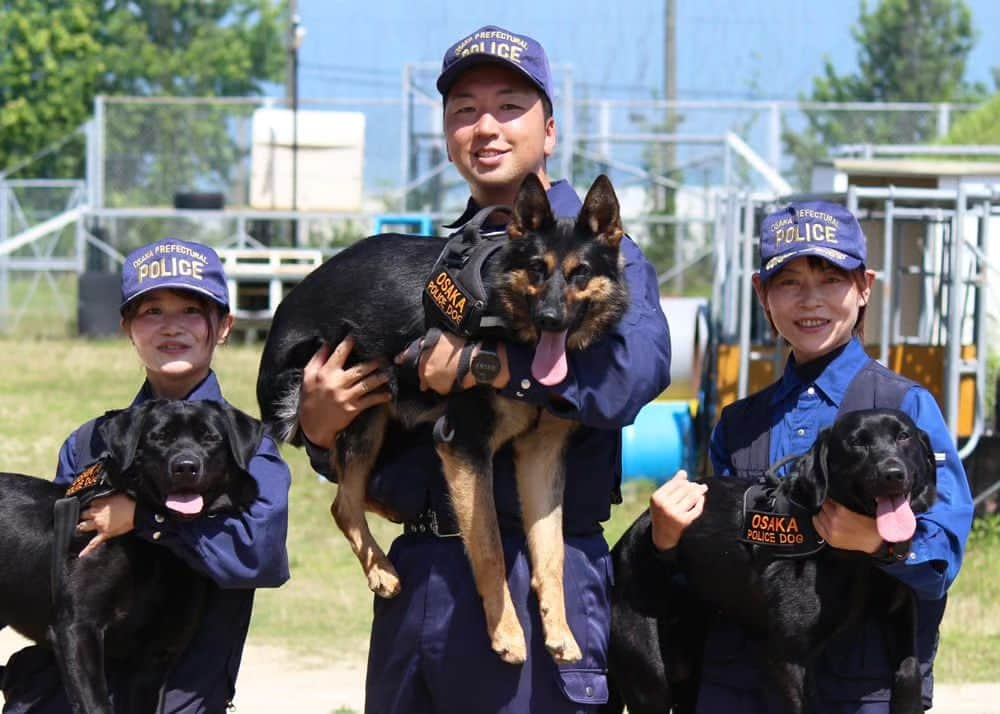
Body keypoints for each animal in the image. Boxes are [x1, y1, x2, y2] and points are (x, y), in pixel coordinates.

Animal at [0, 400, 262, 712]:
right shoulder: (78, 630)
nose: (185, 467)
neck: (155, 548)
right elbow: (96, 705)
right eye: (159, 438)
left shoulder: (158, 653)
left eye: (210, 437)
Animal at [258, 172, 624, 660]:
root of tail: (281, 313)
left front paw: (560, 630)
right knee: (344, 504)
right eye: (537, 269)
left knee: (354, 492)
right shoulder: (464, 444)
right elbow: (489, 547)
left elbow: (551, 551)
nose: (549, 319)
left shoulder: (541, 456)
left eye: (579, 272)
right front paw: (507, 633)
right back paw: (382, 569)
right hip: (362, 410)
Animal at [604, 406, 940, 712]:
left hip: (687, 669)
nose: (893, 474)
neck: (853, 555)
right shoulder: (789, 657)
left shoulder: (899, 611)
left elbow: (910, 668)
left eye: (904, 436)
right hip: (649, 677)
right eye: (858, 442)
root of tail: (623, 543)